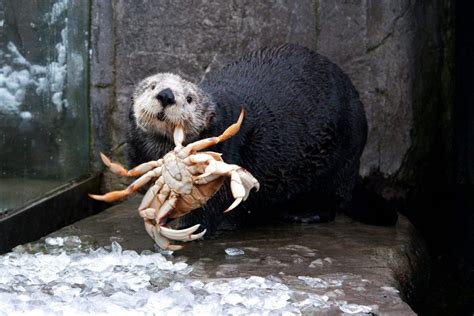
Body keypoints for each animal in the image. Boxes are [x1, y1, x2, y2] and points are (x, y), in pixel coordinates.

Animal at [126, 43, 396, 233]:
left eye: (190, 98)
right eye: (152, 86)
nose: (166, 95)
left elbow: (202, 215)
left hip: (342, 155)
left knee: (333, 200)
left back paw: (301, 214)